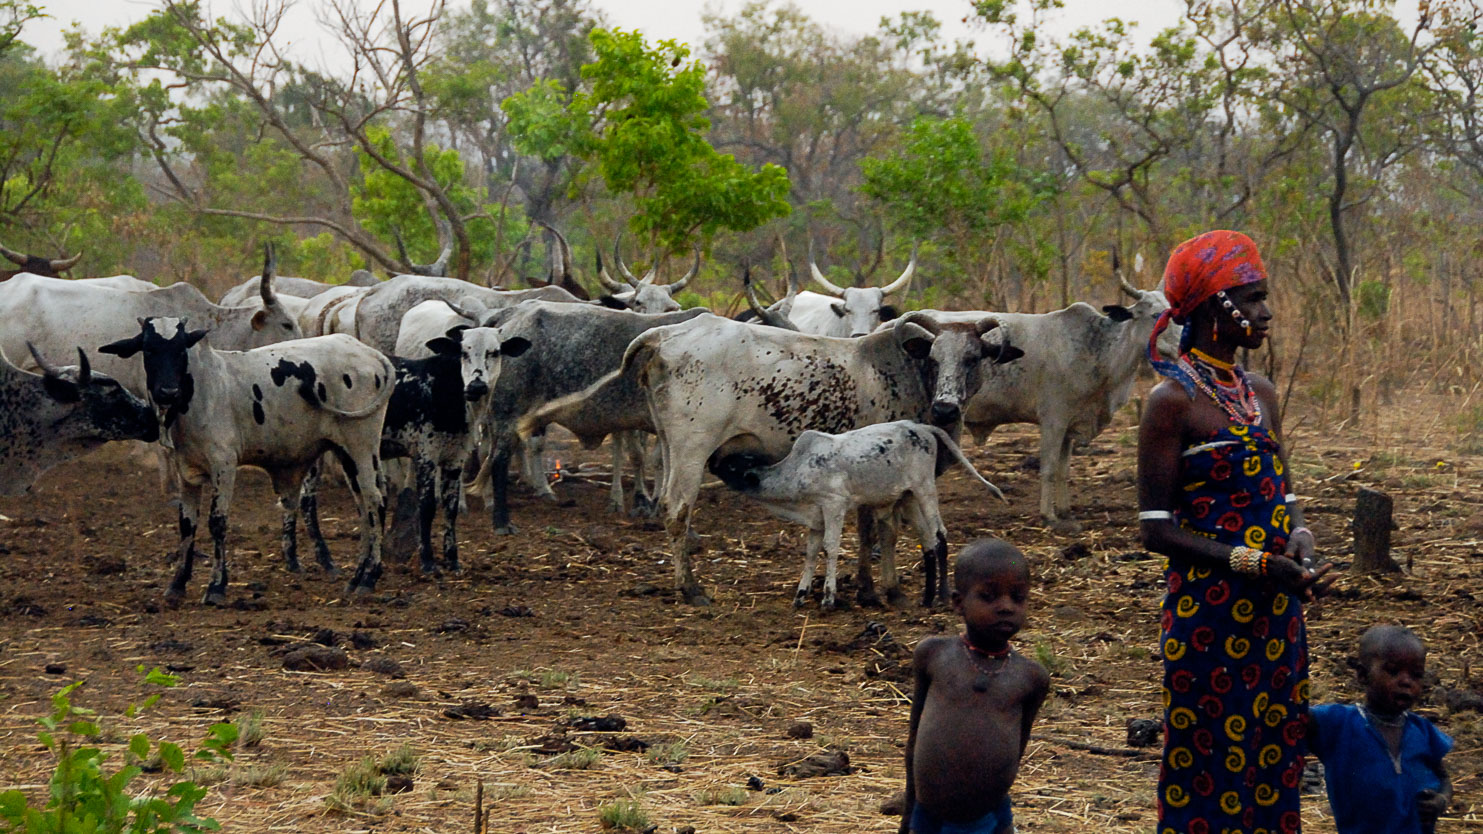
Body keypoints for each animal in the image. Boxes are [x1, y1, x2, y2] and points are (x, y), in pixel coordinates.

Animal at [101, 314, 397, 599]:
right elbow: (187, 525)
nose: (168, 391)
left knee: (375, 501)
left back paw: (369, 578)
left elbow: (217, 523)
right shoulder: (185, 471)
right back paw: (357, 577)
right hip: (345, 453)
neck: (197, 393)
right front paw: (177, 584)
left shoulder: (224, 464)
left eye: (181, 350)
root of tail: (369, 353)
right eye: (149, 349)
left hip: (361, 445)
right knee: (363, 506)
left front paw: (216, 586)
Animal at [708, 421, 1008, 602]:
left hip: (924, 488)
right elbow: (811, 551)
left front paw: (829, 597)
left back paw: (943, 595)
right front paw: (801, 594)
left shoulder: (834, 505)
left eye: (732, 465)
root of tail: (920, 426)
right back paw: (926, 597)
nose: (710, 463)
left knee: (939, 534)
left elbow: (830, 547)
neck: (797, 470)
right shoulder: (816, 516)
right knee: (928, 541)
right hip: (909, 497)